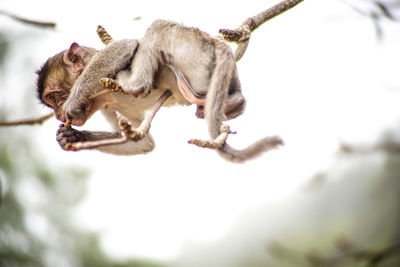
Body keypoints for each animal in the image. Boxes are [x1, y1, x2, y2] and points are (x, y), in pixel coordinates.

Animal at [36, 19, 282, 163]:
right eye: (51, 104)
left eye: (56, 98)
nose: (58, 114)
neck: (104, 94)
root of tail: (213, 42)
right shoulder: (106, 106)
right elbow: (142, 141)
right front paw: (71, 136)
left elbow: (126, 46)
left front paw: (72, 104)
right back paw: (232, 103)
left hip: (190, 48)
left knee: (159, 27)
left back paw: (135, 84)